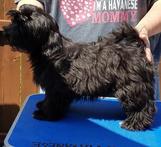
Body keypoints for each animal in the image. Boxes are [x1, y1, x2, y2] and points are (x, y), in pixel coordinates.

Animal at [1, 5, 156, 130]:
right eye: (15, 20)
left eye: (24, 23)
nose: (6, 32)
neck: (50, 50)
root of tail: (135, 45)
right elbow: (48, 98)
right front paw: (42, 105)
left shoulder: (56, 88)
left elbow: (52, 101)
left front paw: (45, 114)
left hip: (131, 86)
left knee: (142, 105)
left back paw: (134, 123)